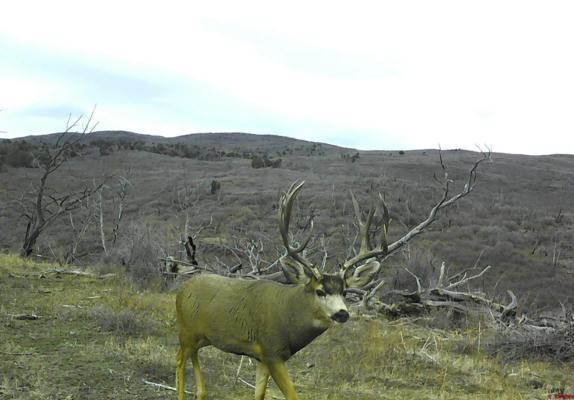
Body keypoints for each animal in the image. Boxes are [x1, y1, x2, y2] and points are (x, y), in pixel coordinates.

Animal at [176, 182, 392, 400]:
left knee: (193, 358)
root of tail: (181, 289)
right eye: (320, 291)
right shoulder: (272, 351)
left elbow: (259, 395)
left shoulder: (261, 357)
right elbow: (292, 395)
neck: (288, 317)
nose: (342, 313)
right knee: (179, 359)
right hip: (186, 331)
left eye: (345, 292)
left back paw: (201, 392)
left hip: (201, 338)